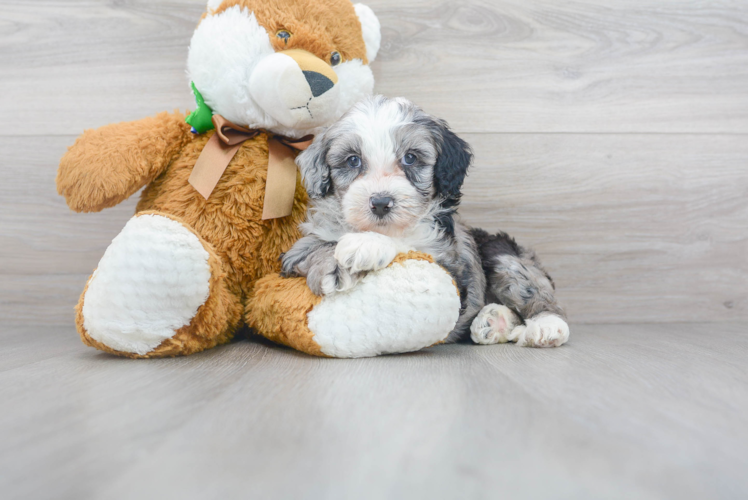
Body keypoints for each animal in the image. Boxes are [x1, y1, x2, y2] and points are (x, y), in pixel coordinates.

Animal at [284, 94, 568, 348]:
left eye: (411, 157)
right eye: (353, 160)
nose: (381, 203)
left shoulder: (449, 267)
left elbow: (407, 244)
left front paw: (365, 244)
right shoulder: (294, 255)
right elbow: (315, 247)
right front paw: (332, 265)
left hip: (503, 256)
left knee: (536, 293)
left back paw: (546, 325)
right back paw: (493, 321)